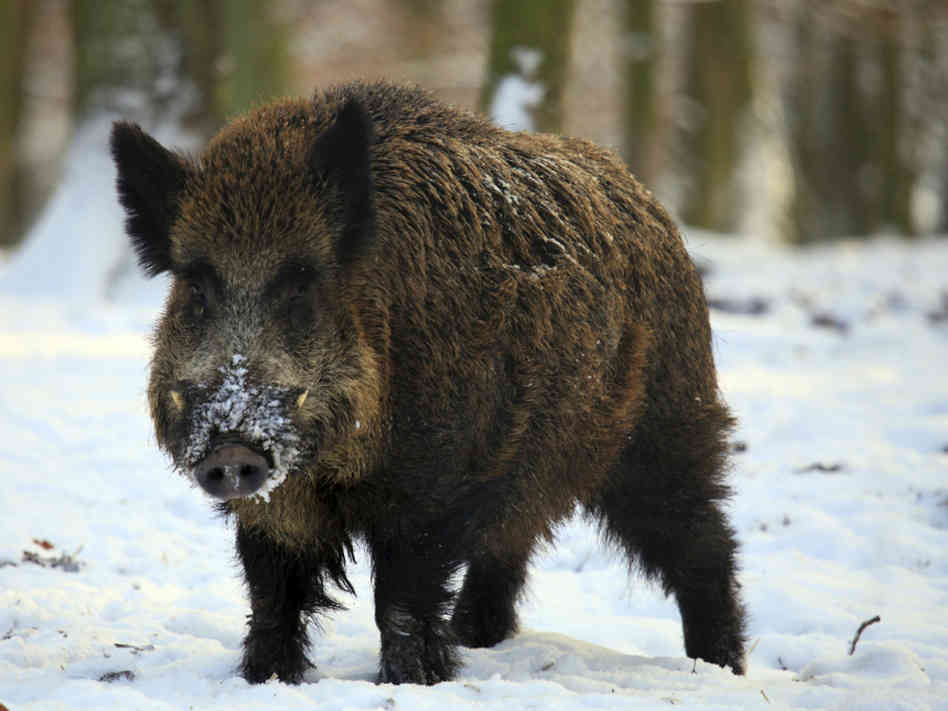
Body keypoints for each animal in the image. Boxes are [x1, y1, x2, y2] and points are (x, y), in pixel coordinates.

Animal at [110, 81, 747, 685]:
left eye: (302, 284)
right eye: (196, 287)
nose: (232, 449)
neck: (331, 468)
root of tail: (649, 203)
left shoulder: (431, 485)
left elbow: (401, 599)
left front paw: (412, 680)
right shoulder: (275, 507)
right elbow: (272, 594)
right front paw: (264, 679)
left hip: (664, 426)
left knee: (704, 541)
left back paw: (720, 667)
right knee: (512, 540)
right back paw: (475, 639)